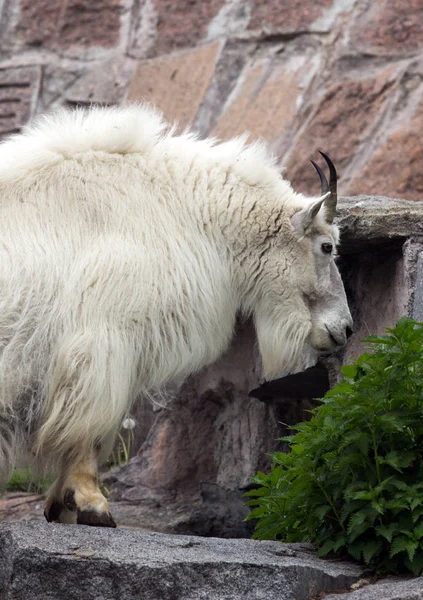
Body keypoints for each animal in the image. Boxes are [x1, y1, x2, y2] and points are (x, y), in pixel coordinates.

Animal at [0, 105, 352, 528]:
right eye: (327, 246)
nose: (345, 328)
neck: (186, 212)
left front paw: (62, 506)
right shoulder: (103, 337)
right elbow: (93, 426)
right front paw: (90, 503)